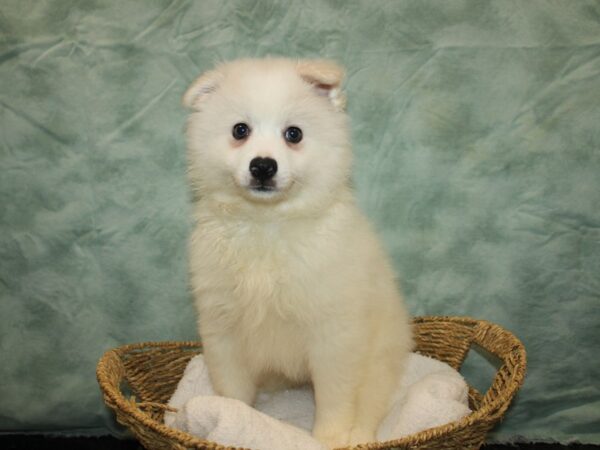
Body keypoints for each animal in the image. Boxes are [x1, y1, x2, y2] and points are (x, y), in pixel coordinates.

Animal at [184, 58, 412, 448]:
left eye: (294, 134)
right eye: (240, 130)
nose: (263, 165)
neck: (267, 223)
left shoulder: (334, 334)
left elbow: (335, 396)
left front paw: (331, 437)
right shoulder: (223, 327)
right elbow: (231, 389)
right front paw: (226, 420)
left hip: (379, 354)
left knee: (371, 400)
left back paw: (359, 434)